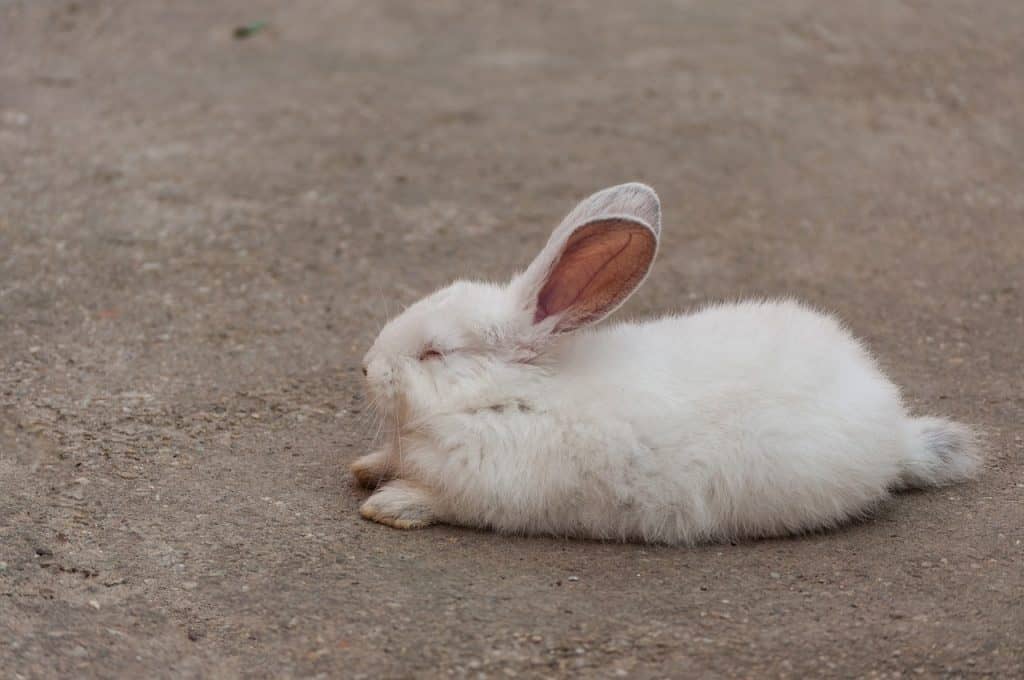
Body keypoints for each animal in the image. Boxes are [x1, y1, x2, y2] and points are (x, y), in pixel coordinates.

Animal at [354, 183, 983, 544]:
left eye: (434, 353)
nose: (365, 367)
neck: (504, 394)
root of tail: (897, 431)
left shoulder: (488, 491)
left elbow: (437, 500)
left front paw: (388, 504)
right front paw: (364, 468)